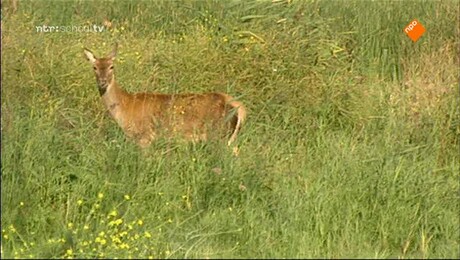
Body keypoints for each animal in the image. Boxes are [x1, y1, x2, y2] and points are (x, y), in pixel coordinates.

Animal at [84, 43, 246, 147]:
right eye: (94, 67)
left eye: (112, 66)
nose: (103, 81)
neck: (125, 107)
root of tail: (237, 106)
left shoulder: (145, 136)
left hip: (219, 134)